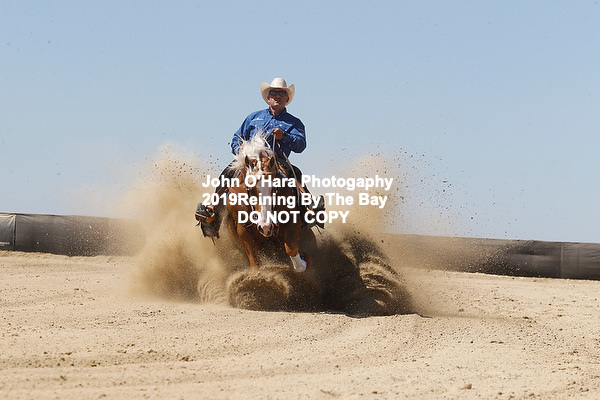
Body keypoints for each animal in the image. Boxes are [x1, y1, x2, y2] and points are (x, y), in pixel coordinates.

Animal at [224, 133, 312, 272]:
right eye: (250, 188)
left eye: (275, 187)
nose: (265, 227)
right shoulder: (242, 228)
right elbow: (254, 259)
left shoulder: (291, 221)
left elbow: (291, 247)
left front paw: (302, 264)